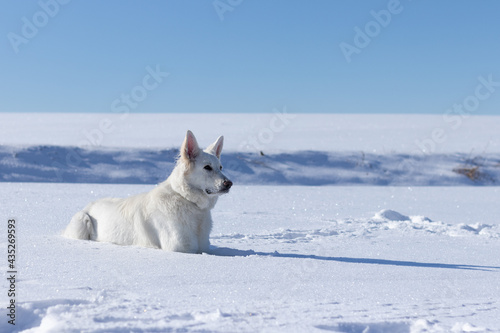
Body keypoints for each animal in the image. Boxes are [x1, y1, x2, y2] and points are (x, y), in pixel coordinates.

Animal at [62, 131, 232, 253]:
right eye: (207, 167)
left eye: (220, 167)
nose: (229, 184)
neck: (187, 201)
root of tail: (90, 204)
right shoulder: (181, 247)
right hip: (83, 220)